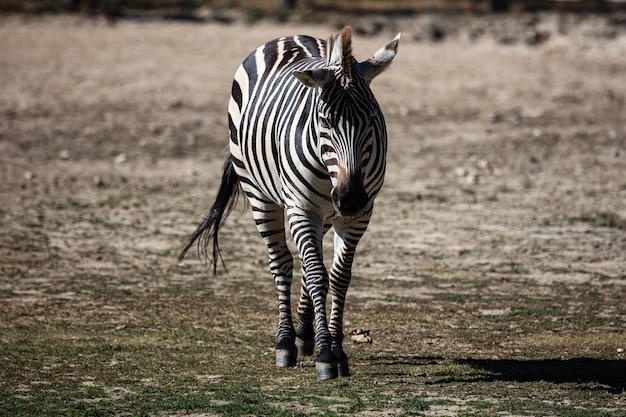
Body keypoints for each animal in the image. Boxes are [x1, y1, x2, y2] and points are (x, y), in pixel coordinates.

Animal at [178, 24, 398, 378]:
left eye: (371, 119)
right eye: (324, 120)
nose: (349, 198)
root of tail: (289, 36)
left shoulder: (358, 216)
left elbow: (337, 278)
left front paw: (336, 349)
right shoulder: (303, 208)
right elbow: (317, 275)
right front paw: (326, 355)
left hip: (322, 214)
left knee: (308, 267)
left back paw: (305, 334)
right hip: (262, 196)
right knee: (282, 263)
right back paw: (286, 343)